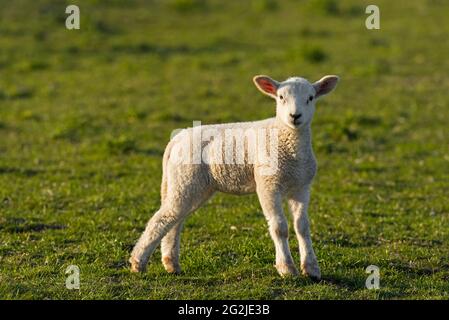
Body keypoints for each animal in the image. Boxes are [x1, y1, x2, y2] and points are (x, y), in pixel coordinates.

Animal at [130, 75, 340, 280]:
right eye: (281, 97)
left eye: (310, 98)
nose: (295, 116)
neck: (287, 139)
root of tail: (176, 139)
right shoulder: (268, 184)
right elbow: (280, 227)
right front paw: (286, 268)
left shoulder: (301, 186)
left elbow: (302, 227)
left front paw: (312, 268)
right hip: (185, 179)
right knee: (162, 219)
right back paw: (138, 263)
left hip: (195, 186)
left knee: (175, 220)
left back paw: (171, 264)